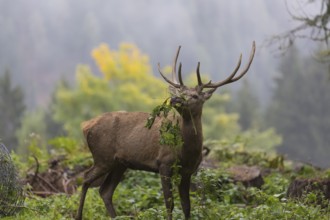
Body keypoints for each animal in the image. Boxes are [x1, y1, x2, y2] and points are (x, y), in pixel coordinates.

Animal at [76, 42, 256, 219]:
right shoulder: (163, 163)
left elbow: (186, 205)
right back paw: (78, 215)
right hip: (103, 156)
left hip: (119, 163)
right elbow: (169, 203)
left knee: (105, 191)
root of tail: (86, 126)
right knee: (86, 179)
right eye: (181, 92)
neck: (188, 151)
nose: (176, 99)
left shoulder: (188, 171)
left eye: (195, 96)